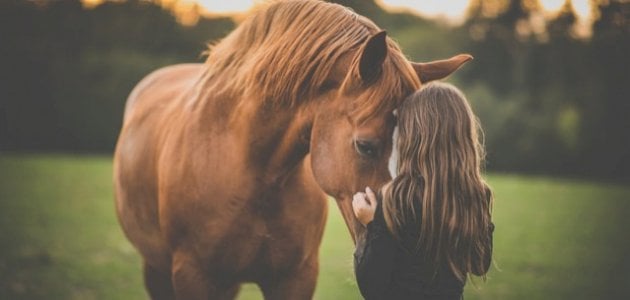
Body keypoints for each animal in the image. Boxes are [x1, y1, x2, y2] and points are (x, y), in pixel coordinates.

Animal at [113, 1, 472, 298]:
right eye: (365, 146)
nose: (412, 253)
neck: (251, 174)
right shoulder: (194, 276)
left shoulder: (295, 278)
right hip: (157, 268)